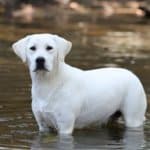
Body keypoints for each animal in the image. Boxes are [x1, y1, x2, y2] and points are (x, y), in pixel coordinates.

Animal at [12, 33, 147, 135]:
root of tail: (132, 74)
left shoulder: (65, 126)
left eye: (49, 48)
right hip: (109, 117)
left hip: (133, 118)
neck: (47, 84)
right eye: (32, 48)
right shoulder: (43, 126)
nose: (40, 60)